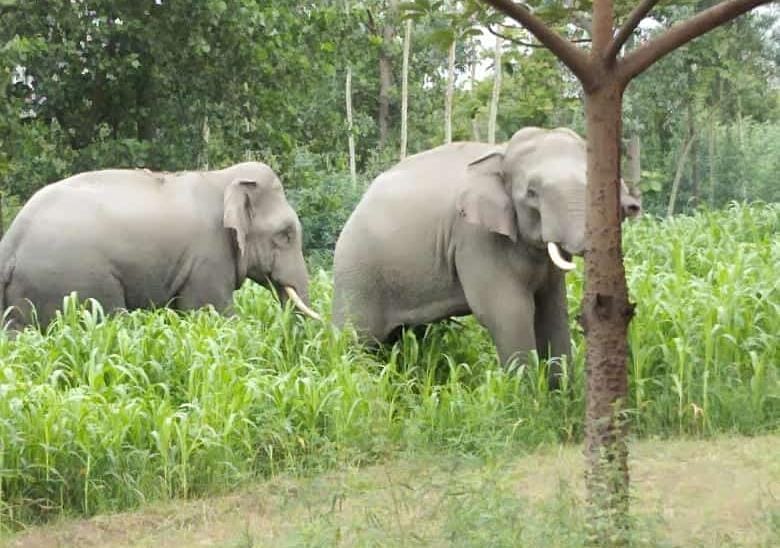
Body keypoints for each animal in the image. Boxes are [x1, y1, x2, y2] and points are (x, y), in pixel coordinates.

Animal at [0, 161, 320, 333]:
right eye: (285, 234)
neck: (222, 178)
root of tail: (11, 242)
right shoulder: (208, 258)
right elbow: (212, 313)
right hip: (74, 282)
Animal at [332, 127, 641, 388]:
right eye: (531, 193)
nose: (633, 206)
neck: (500, 151)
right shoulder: (475, 238)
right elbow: (508, 311)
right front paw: (528, 401)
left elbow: (552, 309)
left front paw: (561, 393)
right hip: (357, 274)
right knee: (356, 339)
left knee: (402, 339)